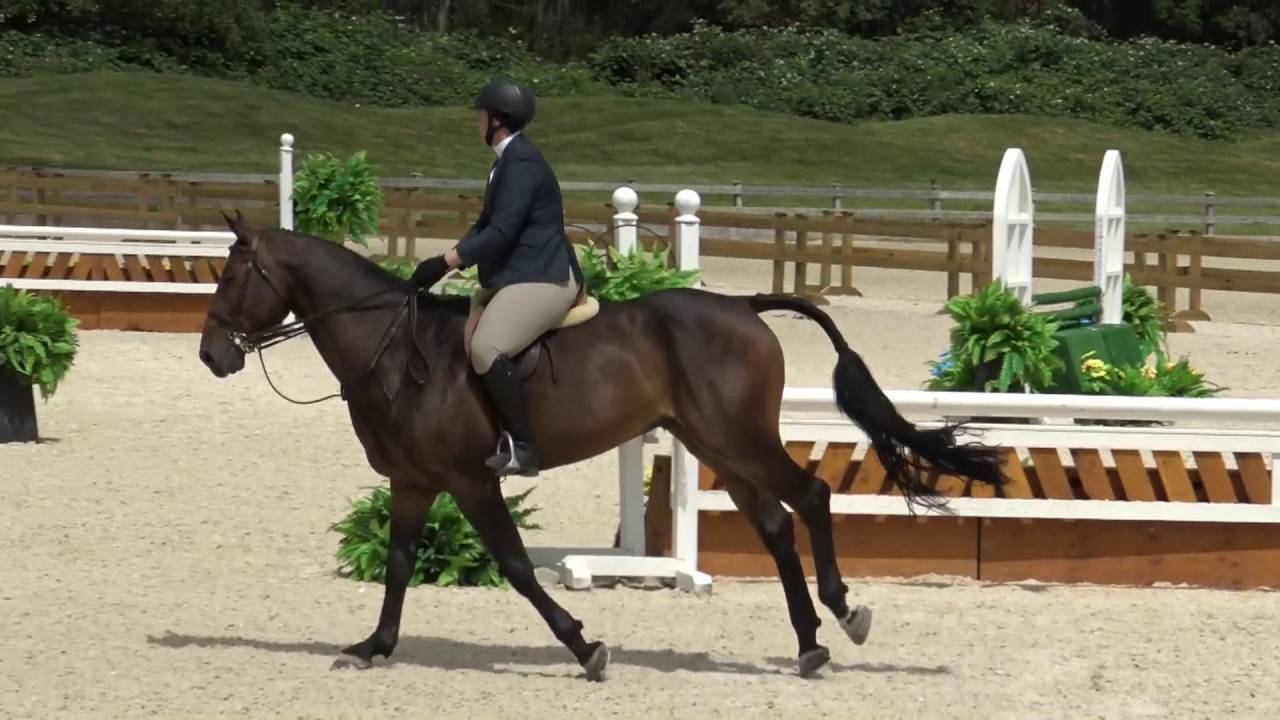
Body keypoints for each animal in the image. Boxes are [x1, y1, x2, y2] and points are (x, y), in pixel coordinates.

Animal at [197, 211, 1006, 682]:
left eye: (234, 274)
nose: (211, 355)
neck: (395, 347)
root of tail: (743, 306)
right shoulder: (414, 482)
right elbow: (398, 566)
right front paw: (374, 647)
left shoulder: (470, 479)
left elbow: (518, 567)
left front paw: (587, 648)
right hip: (717, 445)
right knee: (776, 524)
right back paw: (809, 643)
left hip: (739, 438)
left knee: (809, 496)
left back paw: (842, 614)